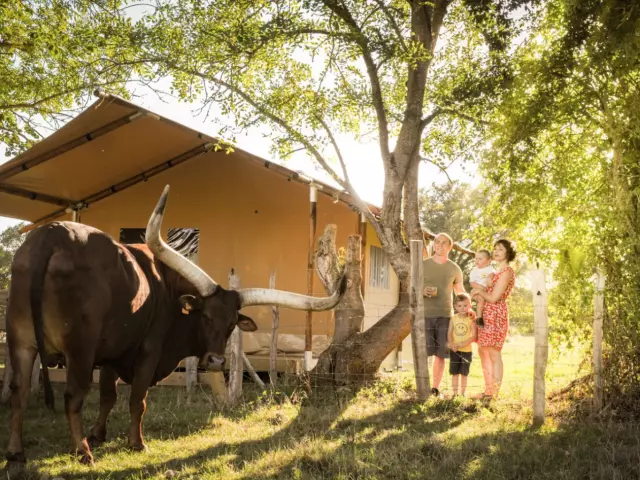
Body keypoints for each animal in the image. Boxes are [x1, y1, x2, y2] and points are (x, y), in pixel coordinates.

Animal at [3, 185, 344, 468]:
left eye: (232, 323)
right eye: (205, 316)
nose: (216, 360)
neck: (166, 288)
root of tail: (51, 234)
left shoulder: (113, 352)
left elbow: (108, 396)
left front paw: (99, 435)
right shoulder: (148, 350)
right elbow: (137, 399)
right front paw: (136, 443)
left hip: (20, 341)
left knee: (18, 391)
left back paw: (16, 451)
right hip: (79, 349)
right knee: (72, 395)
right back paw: (81, 451)